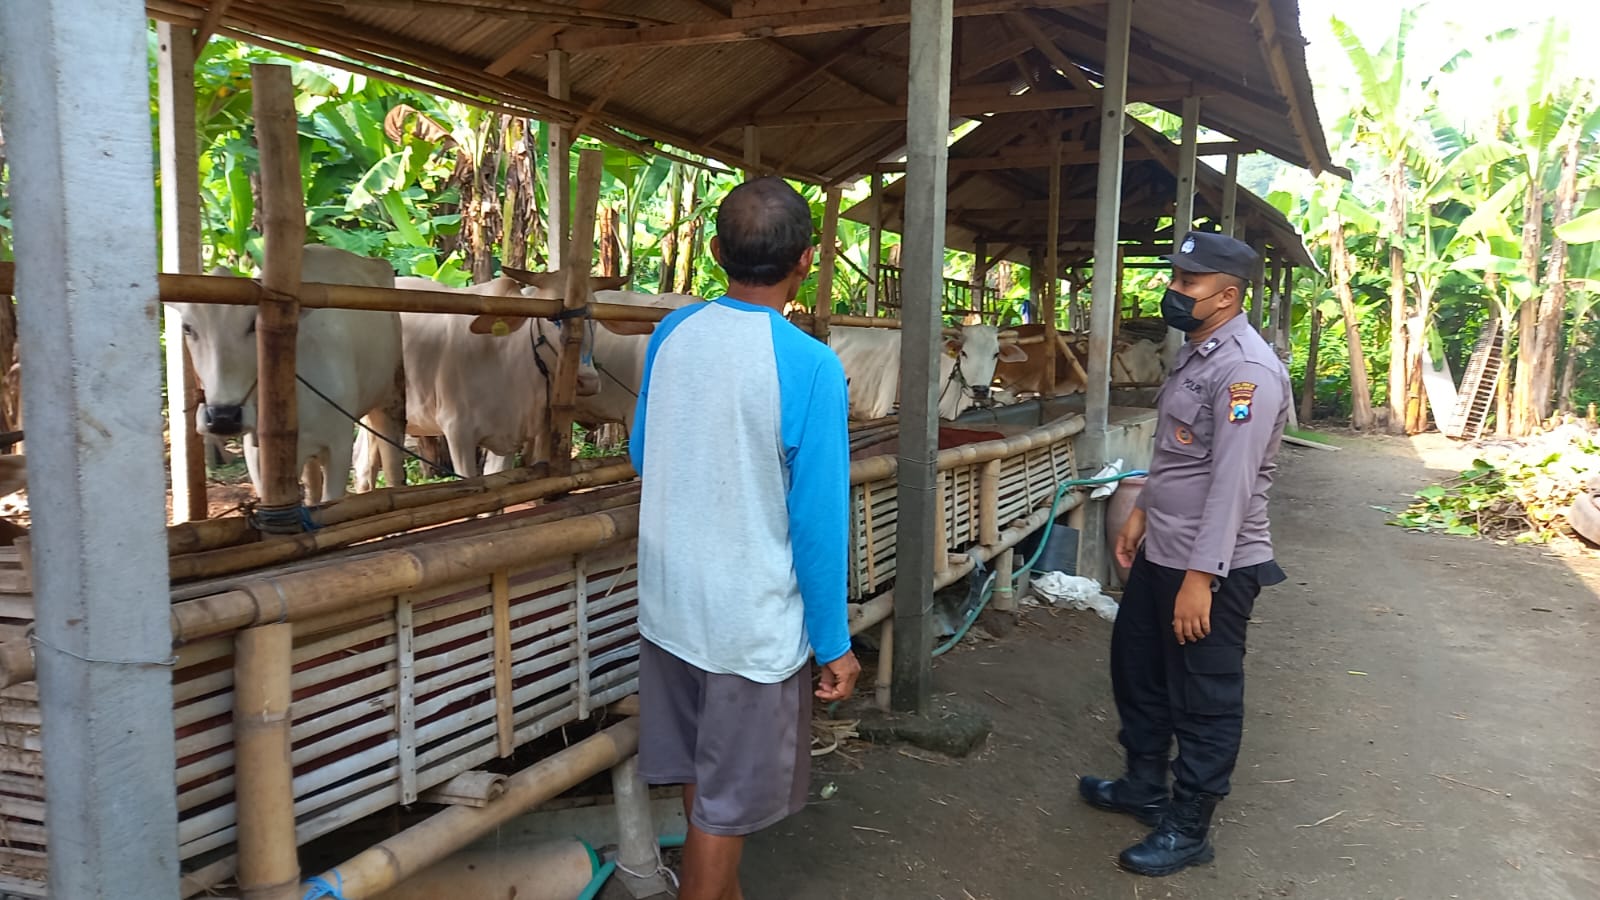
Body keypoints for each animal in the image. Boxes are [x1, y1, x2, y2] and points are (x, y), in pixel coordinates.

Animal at [166, 241, 406, 499]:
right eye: (187, 327)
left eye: (253, 324)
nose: (223, 417)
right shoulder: (257, 455)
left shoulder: (339, 446)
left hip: (389, 399)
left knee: (393, 466)